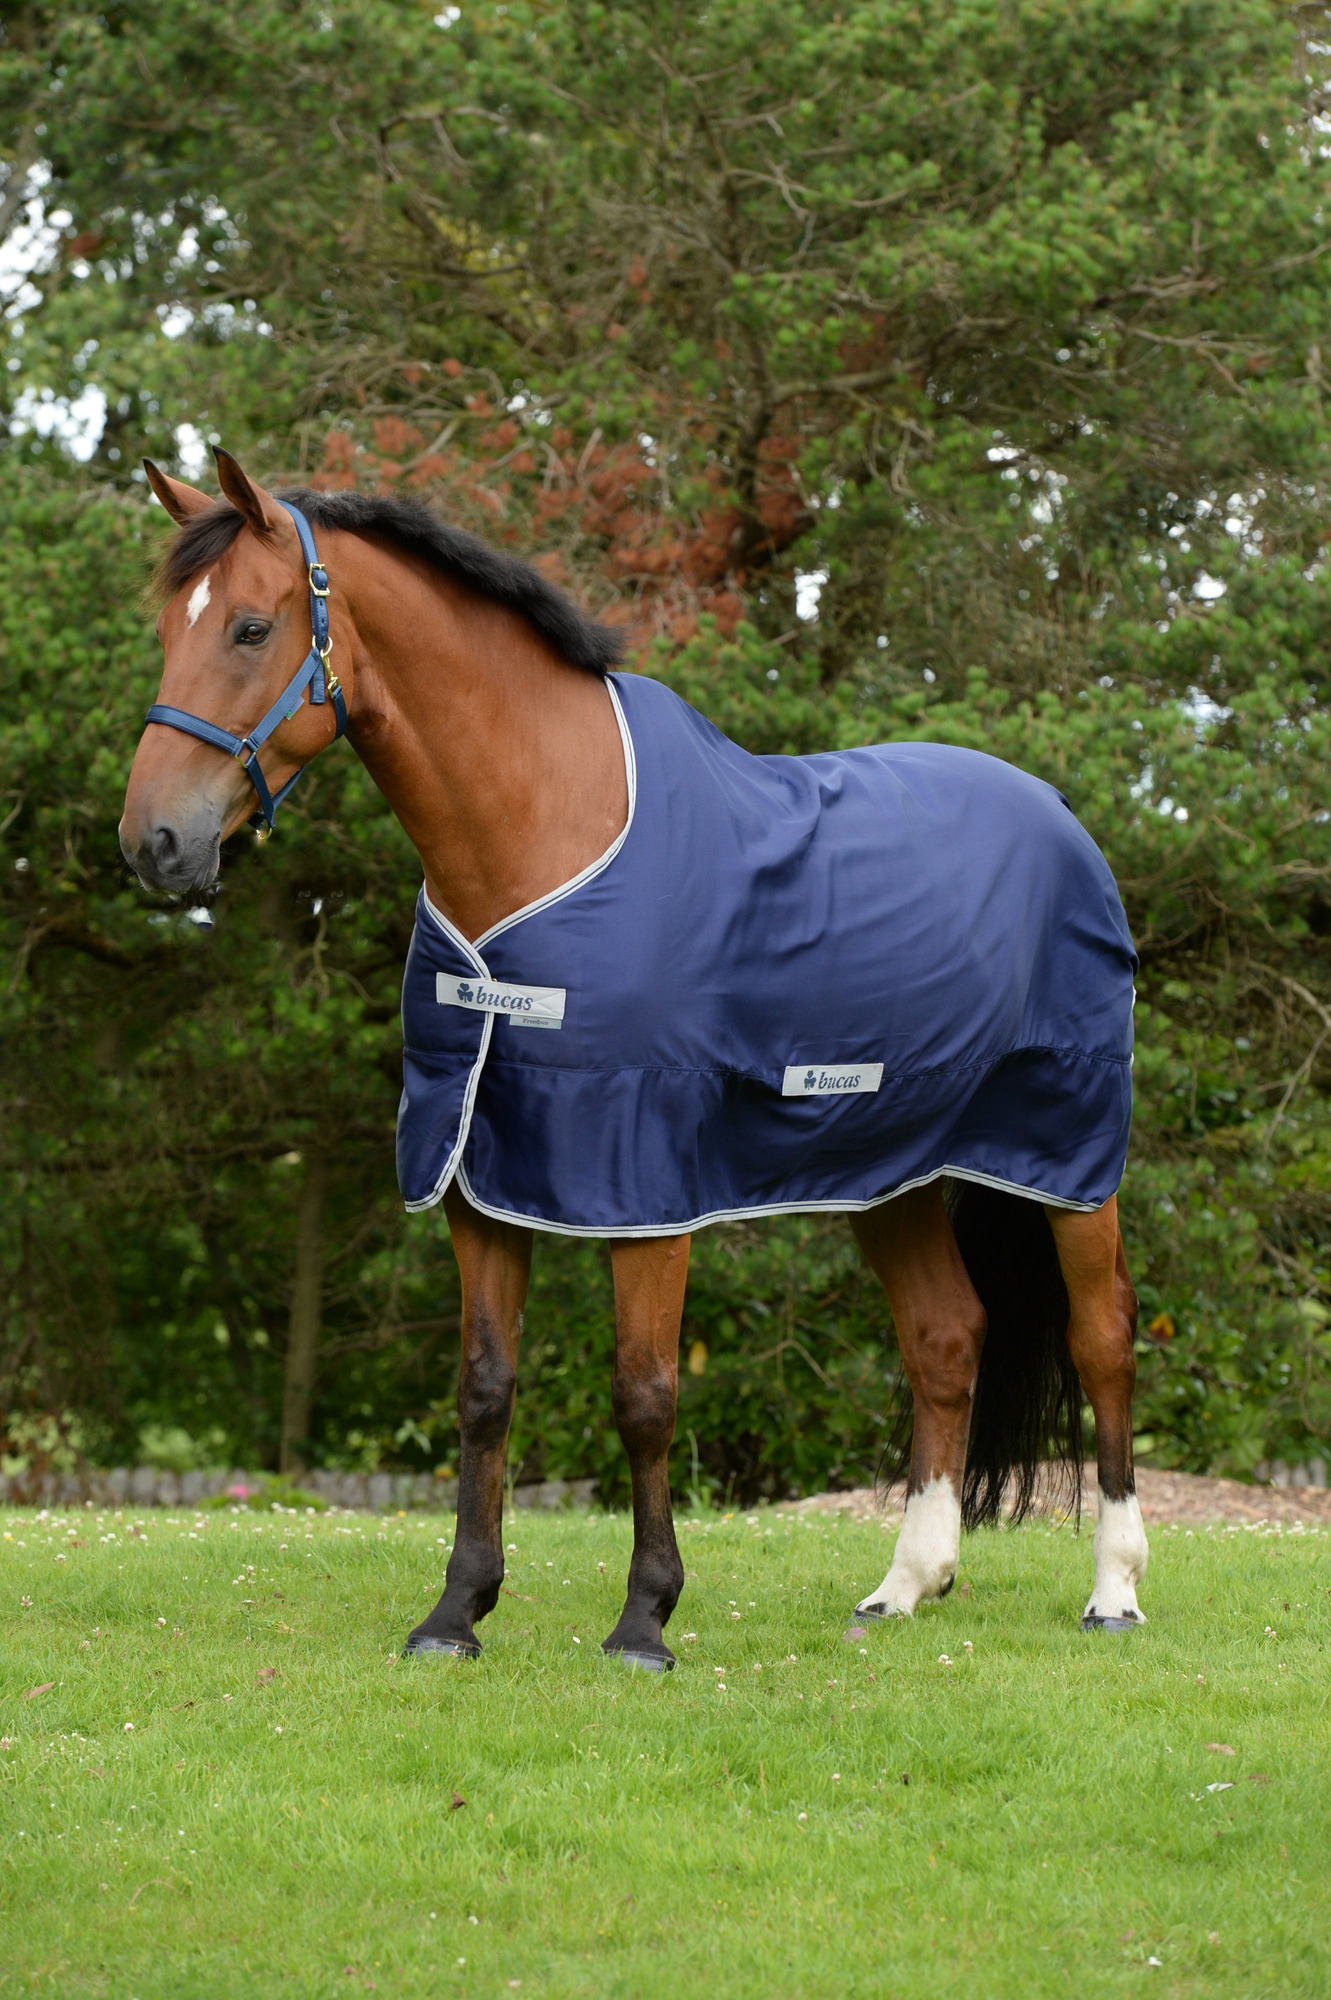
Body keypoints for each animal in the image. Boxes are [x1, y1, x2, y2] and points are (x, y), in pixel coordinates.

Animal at [119, 447, 1148, 1669]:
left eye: (247, 627)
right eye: (165, 628)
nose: (153, 843)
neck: (540, 834)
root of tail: (1058, 814)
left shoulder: (644, 1182)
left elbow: (645, 1392)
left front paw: (645, 1618)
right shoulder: (475, 1173)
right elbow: (484, 1389)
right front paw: (456, 1612)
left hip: (1069, 1158)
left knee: (1103, 1337)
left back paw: (1113, 1589)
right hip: (890, 1166)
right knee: (945, 1337)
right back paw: (904, 1583)